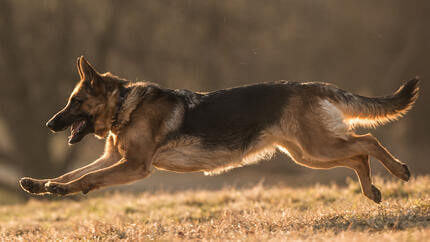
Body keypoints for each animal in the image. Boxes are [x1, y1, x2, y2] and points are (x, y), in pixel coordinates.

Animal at [18, 56, 418, 202]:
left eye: (74, 102)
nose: (49, 124)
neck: (123, 105)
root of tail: (311, 85)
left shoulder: (133, 166)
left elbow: (87, 178)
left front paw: (61, 190)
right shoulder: (113, 159)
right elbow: (73, 171)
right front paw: (43, 184)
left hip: (317, 148)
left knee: (368, 141)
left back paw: (399, 171)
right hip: (309, 154)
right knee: (359, 154)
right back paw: (371, 190)